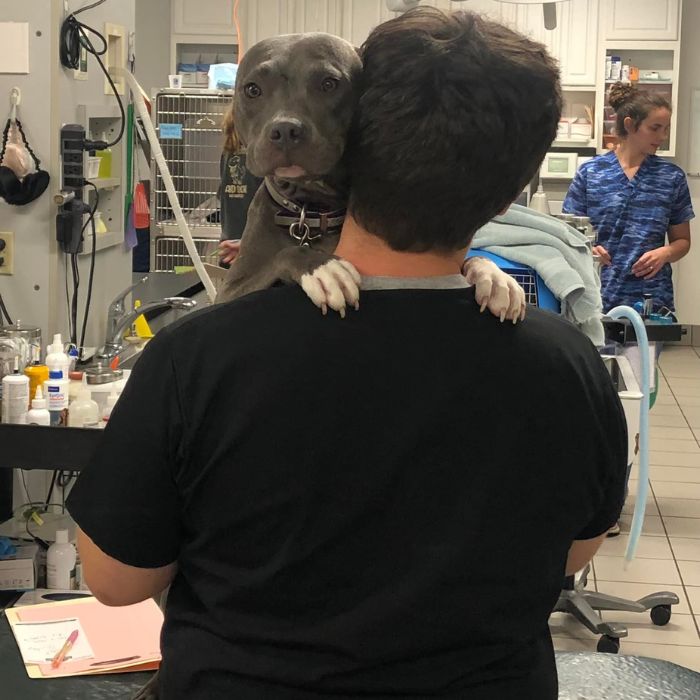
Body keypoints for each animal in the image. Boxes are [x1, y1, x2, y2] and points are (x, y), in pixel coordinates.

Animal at [213, 31, 524, 318]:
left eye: (329, 84)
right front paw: (323, 269)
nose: (285, 129)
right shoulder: (229, 291)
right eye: (252, 90)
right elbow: (284, 254)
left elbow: (473, 260)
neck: (310, 210)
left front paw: (496, 278)